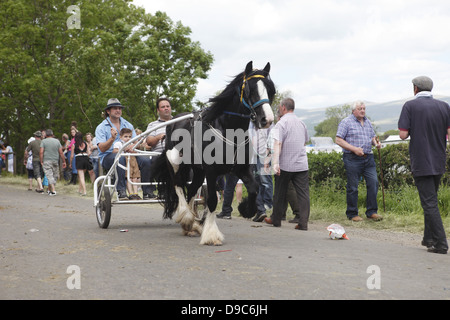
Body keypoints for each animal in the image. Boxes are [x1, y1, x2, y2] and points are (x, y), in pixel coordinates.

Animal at [152, 60, 274, 245]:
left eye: (269, 89)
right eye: (250, 89)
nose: (267, 119)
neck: (228, 130)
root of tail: (173, 122)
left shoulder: (241, 169)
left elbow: (254, 189)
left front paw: (246, 209)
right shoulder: (211, 171)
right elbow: (212, 200)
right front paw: (211, 234)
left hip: (197, 171)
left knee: (191, 190)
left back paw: (192, 224)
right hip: (175, 162)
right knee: (178, 185)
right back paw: (186, 218)